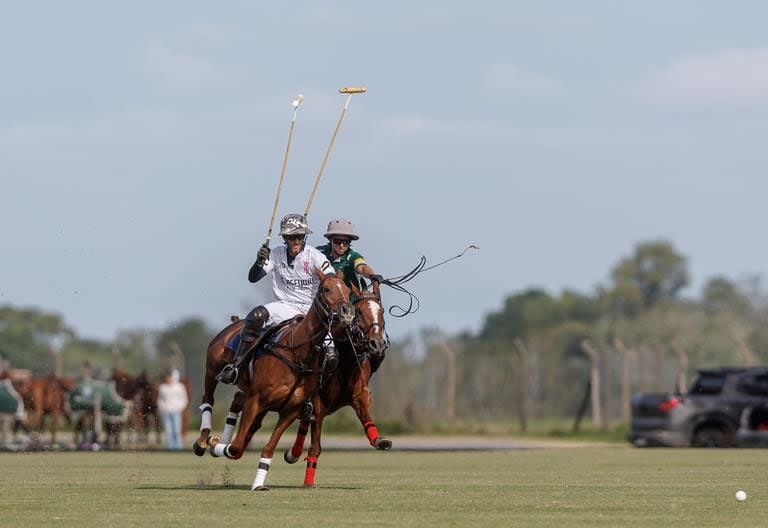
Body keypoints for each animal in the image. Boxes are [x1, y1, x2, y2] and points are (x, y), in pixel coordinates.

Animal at [198, 272, 354, 490]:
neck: (298, 354)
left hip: (249, 390)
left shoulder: (291, 410)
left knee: (238, 400)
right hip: (213, 369)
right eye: (326, 289)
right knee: (208, 399)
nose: (347, 312)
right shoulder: (256, 399)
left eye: (347, 289)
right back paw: (203, 440)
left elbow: (268, 447)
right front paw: (216, 445)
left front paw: (258, 484)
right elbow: (236, 448)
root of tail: (237, 322)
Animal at [282, 284, 392, 486]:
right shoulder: (319, 403)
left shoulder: (360, 395)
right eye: (359, 312)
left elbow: (367, 418)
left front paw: (379, 440)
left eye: (381, 311)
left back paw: (293, 453)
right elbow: (315, 446)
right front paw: (308, 481)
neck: (346, 360)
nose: (377, 345)